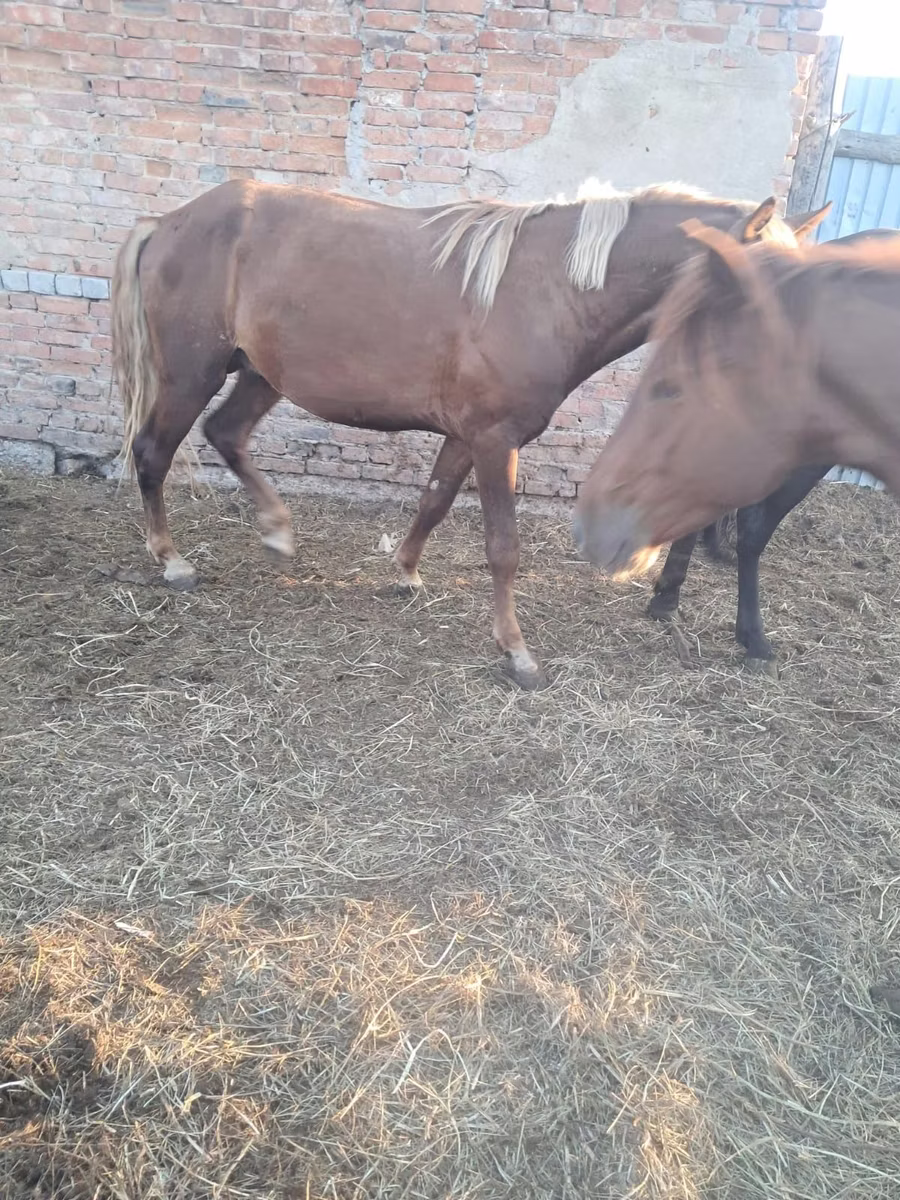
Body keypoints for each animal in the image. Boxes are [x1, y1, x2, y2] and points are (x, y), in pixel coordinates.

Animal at [111, 178, 827, 688]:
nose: (807, 396)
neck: (551, 291)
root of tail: (168, 222)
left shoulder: (464, 437)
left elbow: (432, 502)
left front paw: (404, 575)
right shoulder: (494, 440)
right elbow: (503, 547)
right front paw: (517, 654)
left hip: (260, 373)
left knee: (226, 434)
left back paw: (277, 531)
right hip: (191, 373)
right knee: (153, 454)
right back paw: (172, 561)